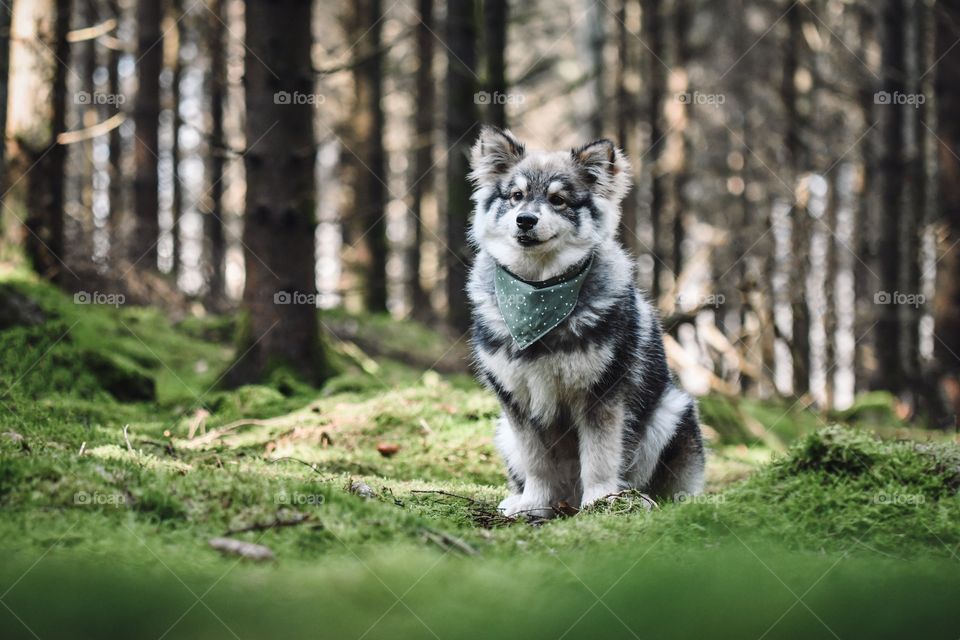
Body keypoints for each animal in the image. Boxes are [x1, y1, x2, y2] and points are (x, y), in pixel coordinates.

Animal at [466, 126, 704, 520]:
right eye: (516, 196)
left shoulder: (602, 394)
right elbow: (536, 462)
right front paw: (533, 503)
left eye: (559, 200)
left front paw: (601, 500)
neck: (540, 290)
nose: (525, 219)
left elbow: (599, 456)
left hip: (672, 412)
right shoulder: (516, 401)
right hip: (503, 431)